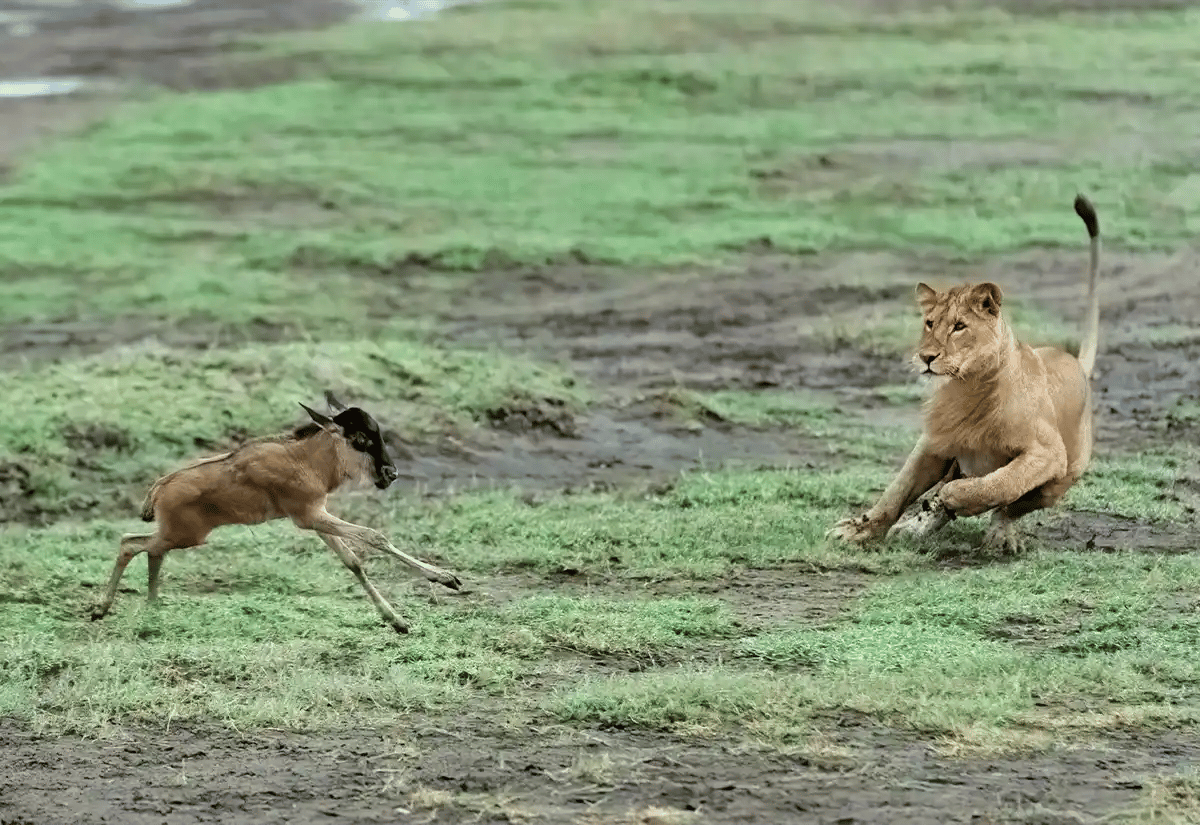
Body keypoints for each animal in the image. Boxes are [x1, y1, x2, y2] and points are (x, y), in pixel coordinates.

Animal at [91, 393, 461, 633]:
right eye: (360, 438)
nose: (391, 474)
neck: (304, 459)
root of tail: (160, 486)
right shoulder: (309, 517)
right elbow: (375, 536)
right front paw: (444, 578)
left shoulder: (317, 517)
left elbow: (353, 562)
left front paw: (397, 620)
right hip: (185, 536)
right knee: (130, 544)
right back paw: (102, 608)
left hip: (177, 536)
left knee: (149, 550)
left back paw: (152, 607)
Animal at [827, 194, 1101, 553]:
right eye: (930, 323)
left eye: (959, 326)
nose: (927, 357)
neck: (965, 387)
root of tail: (1075, 363)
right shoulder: (936, 442)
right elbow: (897, 491)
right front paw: (859, 530)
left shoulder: (1047, 452)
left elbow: (1001, 485)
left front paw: (957, 498)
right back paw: (918, 524)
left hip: (1063, 477)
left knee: (1012, 506)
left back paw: (996, 533)